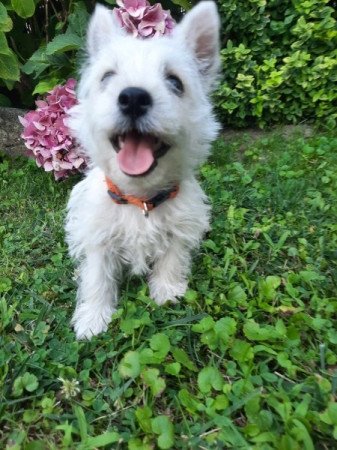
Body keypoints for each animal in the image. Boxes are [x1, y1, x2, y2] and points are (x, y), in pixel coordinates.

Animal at [65, 0, 220, 338]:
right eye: (107, 76)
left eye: (175, 82)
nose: (133, 97)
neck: (140, 200)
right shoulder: (98, 237)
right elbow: (97, 276)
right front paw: (93, 318)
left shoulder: (181, 228)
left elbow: (172, 259)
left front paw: (167, 291)